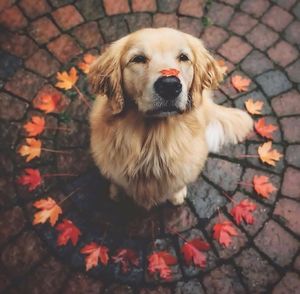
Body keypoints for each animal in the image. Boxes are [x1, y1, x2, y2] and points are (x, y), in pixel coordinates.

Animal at [88, 28, 252, 209]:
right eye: (138, 59)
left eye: (183, 57)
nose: (170, 85)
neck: (153, 142)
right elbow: (116, 181)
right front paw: (116, 193)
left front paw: (177, 195)